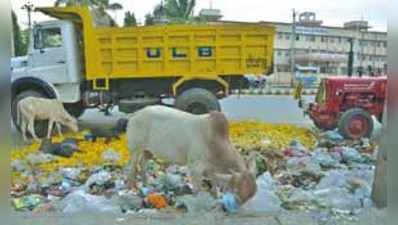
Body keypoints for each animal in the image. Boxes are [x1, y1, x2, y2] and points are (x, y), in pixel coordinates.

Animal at [125, 105, 258, 206]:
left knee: (143, 163)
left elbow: (214, 186)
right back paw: (134, 189)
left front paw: (215, 198)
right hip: (135, 149)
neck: (215, 140)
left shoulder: (211, 169)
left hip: (149, 151)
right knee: (132, 168)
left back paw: (146, 184)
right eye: (236, 192)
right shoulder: (195, 168)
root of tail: (135, 113)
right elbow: (197, 189)